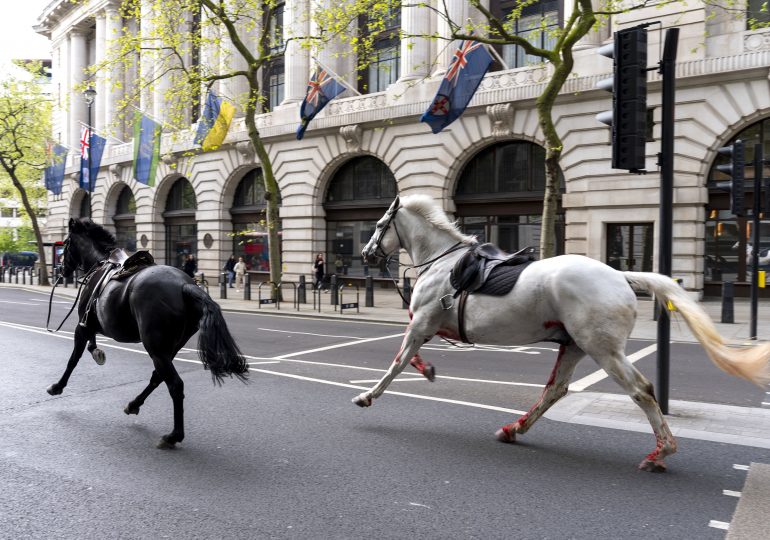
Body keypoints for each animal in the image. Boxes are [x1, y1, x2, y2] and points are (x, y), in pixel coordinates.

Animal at [48, 217, 246, 450]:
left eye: (66, 244)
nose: (60, 269)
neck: (100, 263)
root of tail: (185, 285)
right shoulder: (91, 325)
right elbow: (90, 346)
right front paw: (97, 353)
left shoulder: (83, 325)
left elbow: (73, 359)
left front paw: (57, 386)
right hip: (169, 347)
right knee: (157, 377)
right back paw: (134, 405)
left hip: (155, 347)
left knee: (175, 385)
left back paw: (173, 436)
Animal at [356, 195, 768, 472]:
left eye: (378, 225)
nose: (366, 254)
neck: (443, 262)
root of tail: (621, 276)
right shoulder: (426, 325)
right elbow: (410, 358)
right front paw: (427, 370)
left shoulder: (421, 323)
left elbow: (397, 362)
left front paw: (367, 396)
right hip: (574, 346)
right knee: (555, 390)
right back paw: (514, 428)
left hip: (603, 349)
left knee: (642, 390)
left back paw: (660, 452)